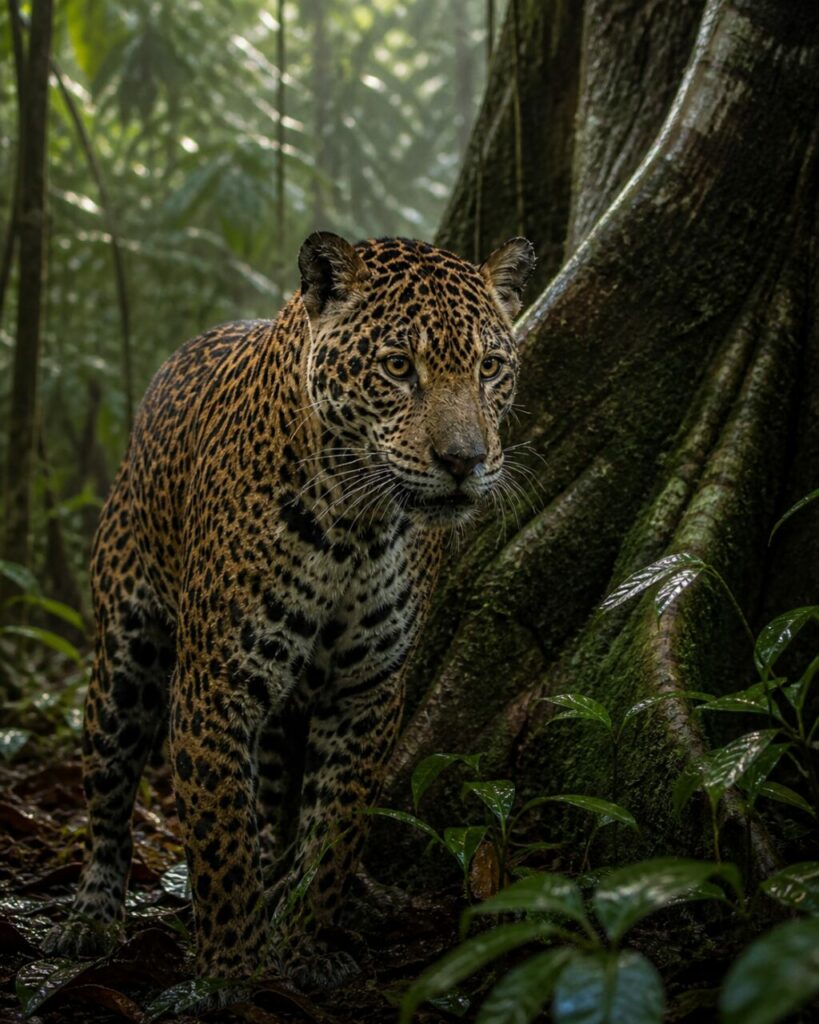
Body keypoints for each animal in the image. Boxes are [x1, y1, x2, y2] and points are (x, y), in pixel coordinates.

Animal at [44, 232, 535, 990]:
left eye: (489, 367)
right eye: (398, 367)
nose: (464, 460)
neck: (356, 526)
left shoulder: (367, 691)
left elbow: (333, 831)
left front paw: (301, 946)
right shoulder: (215, 684)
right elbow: (220, 839)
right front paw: (232, 970)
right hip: (124, 652)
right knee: (108, 788)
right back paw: (93, 915)